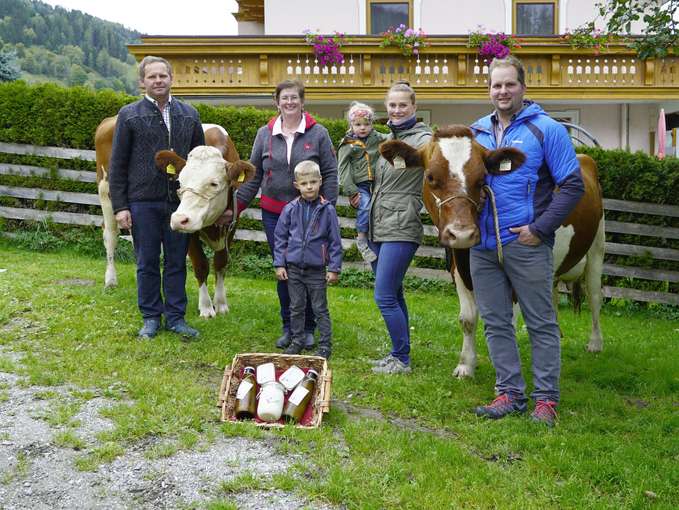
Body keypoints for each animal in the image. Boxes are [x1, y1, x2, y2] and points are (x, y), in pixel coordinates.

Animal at [95, 119, 255, 316]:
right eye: (179, 182)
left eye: (214, 183)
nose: (179, 219)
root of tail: (108, 120)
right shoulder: (189, 233)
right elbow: (201, 264)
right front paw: (206, 307)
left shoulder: (232, 224)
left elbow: (221, 262)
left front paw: (221, 304)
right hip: (106, 192)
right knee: (110, 234)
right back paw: (110, 280)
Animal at [380, 124, 608, 378]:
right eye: (430, 176)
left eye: (482, 179)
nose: (462, 234)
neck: (467, 256)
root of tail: (582, 156)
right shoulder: (457, 268)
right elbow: (467, 318)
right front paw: (466, 365)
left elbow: (508, 321)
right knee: (552, 298)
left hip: (597, 248)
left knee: (594, 296)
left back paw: (595, 344)